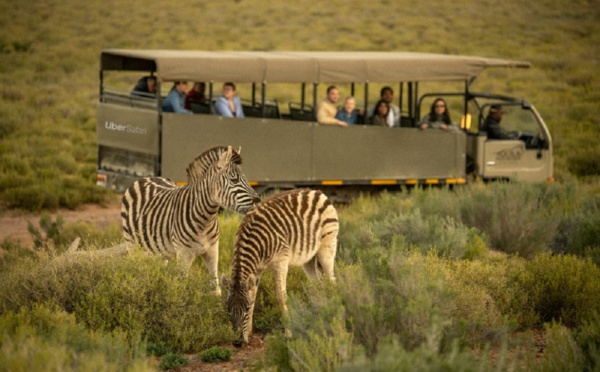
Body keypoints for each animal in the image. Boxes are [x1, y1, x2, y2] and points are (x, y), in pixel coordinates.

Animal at [122, 145, 260, 294]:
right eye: (234, 180)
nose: (259, 201)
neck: (206, 220)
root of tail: (144, 178)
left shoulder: (212, 251)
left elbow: (215, 288)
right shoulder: (184, 254)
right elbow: (182, 288)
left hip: (159, 250)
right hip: (132, 244)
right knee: (136, 270)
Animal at [223, 187, 340, 348]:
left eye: (245, 308)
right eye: (228, 309)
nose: (236, 343)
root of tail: (316, 191)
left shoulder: (281, 262)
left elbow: (281, 295)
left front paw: (289, 333)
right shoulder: (256, 270)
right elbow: (253, 295)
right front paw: (248, 333)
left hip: (327, 245)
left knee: (331, 281)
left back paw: (334, 311)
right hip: (309, 259)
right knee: (318, 284)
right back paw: (321, 313)